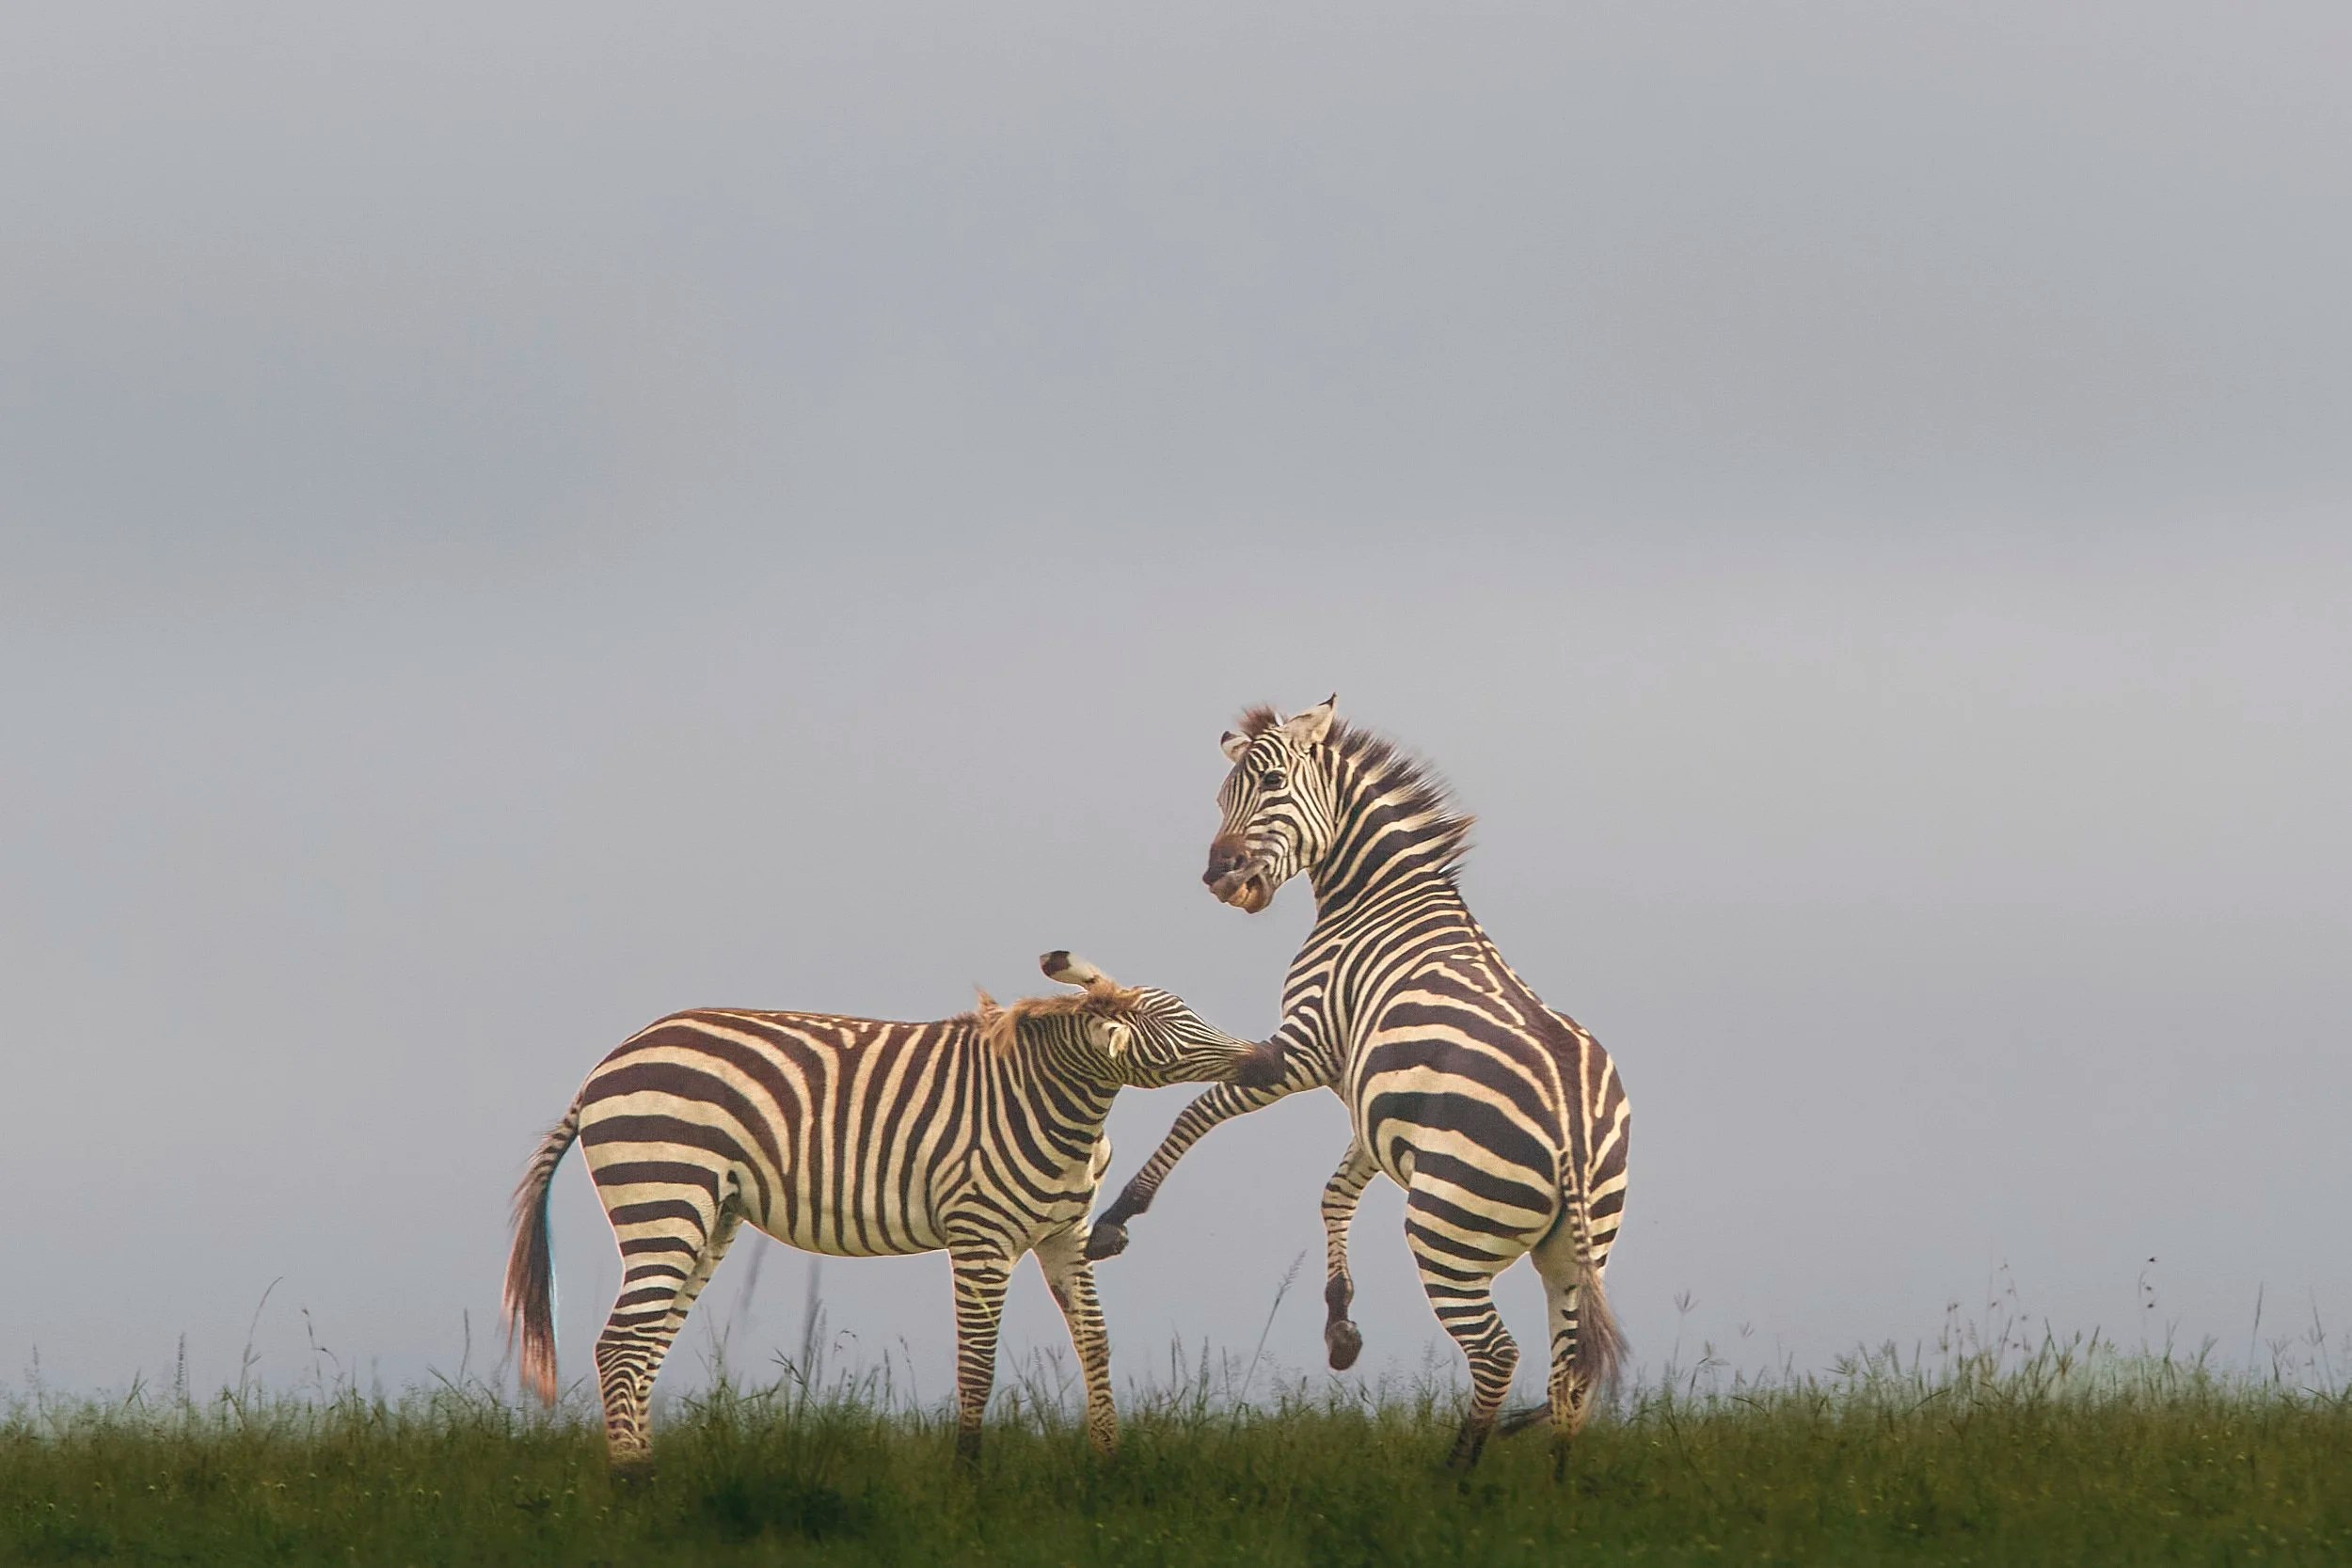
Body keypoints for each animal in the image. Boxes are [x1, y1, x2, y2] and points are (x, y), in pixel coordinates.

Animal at [502, 951, 1253, 1468]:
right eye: (1175, 1028)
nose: (1264, 1057)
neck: (1057, 1106)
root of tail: (606, 1066)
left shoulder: (1065, 1235)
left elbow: (1094, 1341)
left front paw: (1107, 1461)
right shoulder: (980, 1236)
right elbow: (977, 1359)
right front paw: (967, 1475)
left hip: (708, 1217)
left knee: (645, 1347)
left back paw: (646, 1474)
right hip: (665, 1195)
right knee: (622, 1345)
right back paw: (635, 1486)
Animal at [1094, 696, 1631, 1470]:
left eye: (1275, 783)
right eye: (1222, 798)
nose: (1221, 878)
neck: (1376, 894)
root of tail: (1573, 1125)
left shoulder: (1307, 1047)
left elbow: (1201, 1109)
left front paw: (1118, 1215)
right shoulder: (1372, 1103)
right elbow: (1335, 1191)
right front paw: (1340, 1324)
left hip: (1448, 1226)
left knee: (1497, 1355)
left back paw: (1454, 1476)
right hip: (1574, 1253)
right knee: (1569, 1374)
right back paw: (1557, 1485)